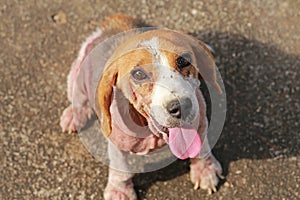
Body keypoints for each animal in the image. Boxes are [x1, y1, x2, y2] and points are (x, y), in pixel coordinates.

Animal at [60, 14, 223, 199]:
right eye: (138, 74)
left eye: (183, 60)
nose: (182, 106)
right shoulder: (117, 142)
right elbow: (121, 169)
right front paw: (119, 191)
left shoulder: (200, 119)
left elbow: (201, 147)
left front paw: (205, 170)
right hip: (77, 76)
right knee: (79, 99)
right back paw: (74, 115)